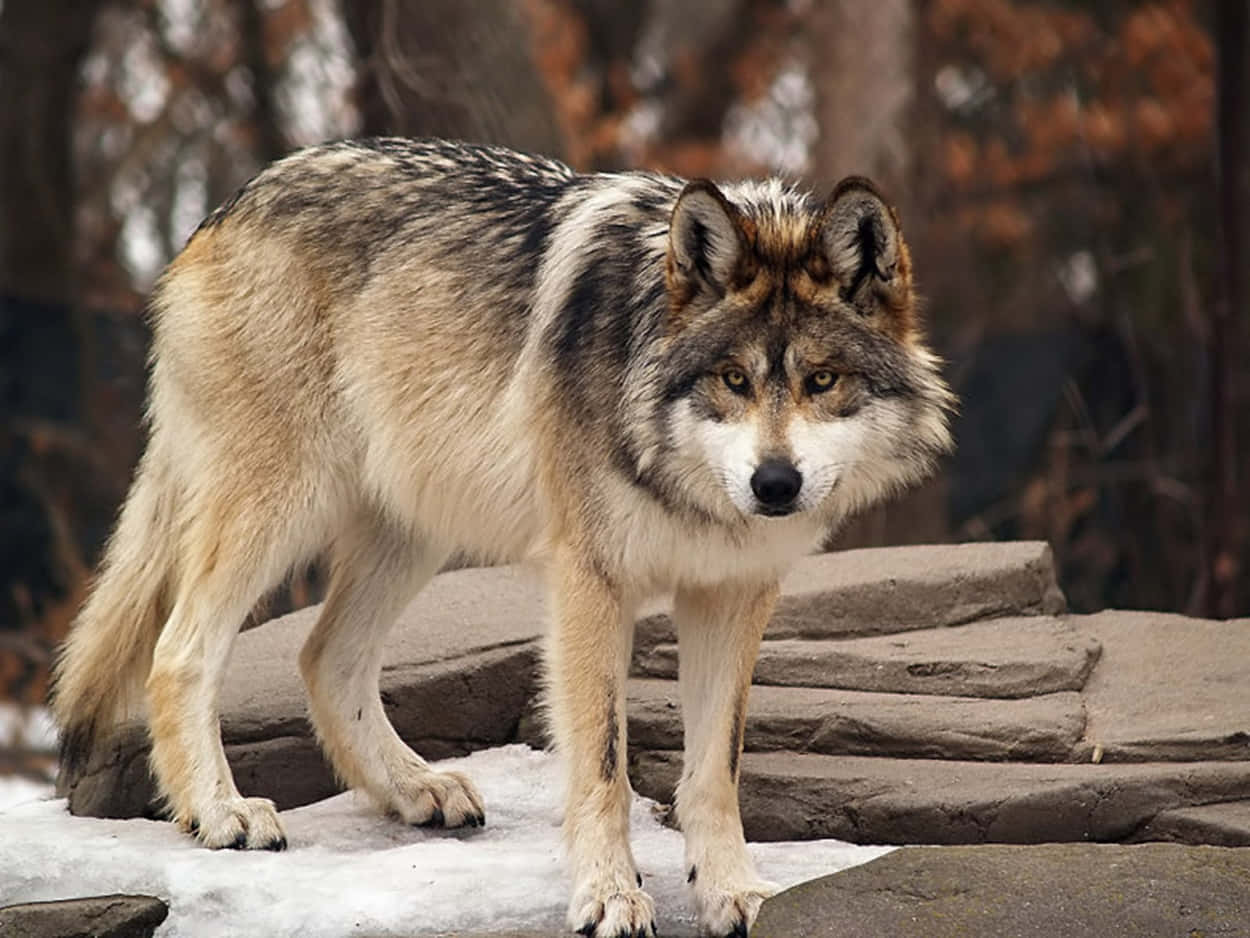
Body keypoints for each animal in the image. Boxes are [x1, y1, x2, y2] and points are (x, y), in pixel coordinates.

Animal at [46, 135, 945, 935]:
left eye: (821, 380)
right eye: (733, 380)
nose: (775, 484)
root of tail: (228, 207)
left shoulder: (730, 594)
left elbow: (714, 773)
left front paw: (736, 894)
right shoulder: (590, 584)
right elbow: (604, 767)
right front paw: (610, 898)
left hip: (412, 525)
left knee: (325, 658)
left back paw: (414, 790)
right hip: (280, 506)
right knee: (180, 650)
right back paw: (221, 811)